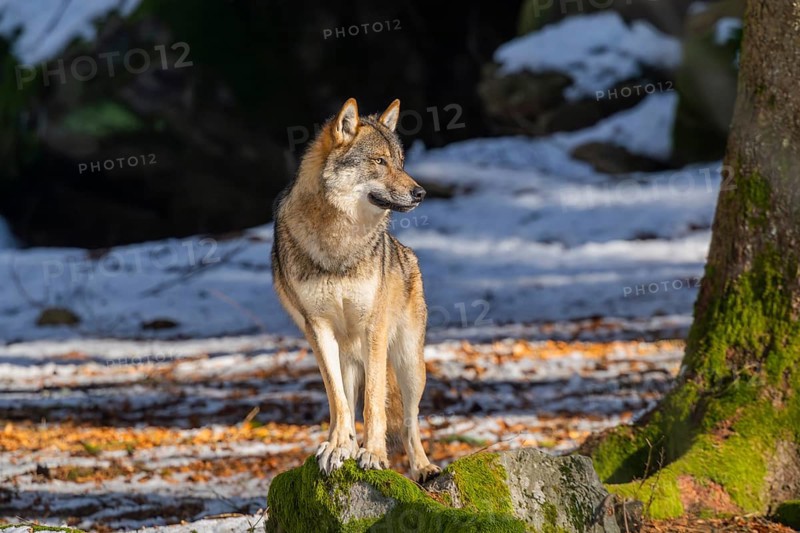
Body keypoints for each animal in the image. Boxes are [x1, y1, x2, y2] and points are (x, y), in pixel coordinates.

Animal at [271, 98, 441, 482]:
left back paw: (423, 468)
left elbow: (375, 402)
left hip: (409, 364)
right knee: (347, 401)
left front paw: (374, 454)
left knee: (409, 421)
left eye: (400, 161)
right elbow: (338, 402)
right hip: (347, 356)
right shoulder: (317, 329)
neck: (339, 240)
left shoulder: (373, 327)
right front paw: (338, 447)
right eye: (379, 161)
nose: (421, 193)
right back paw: (346, 445)